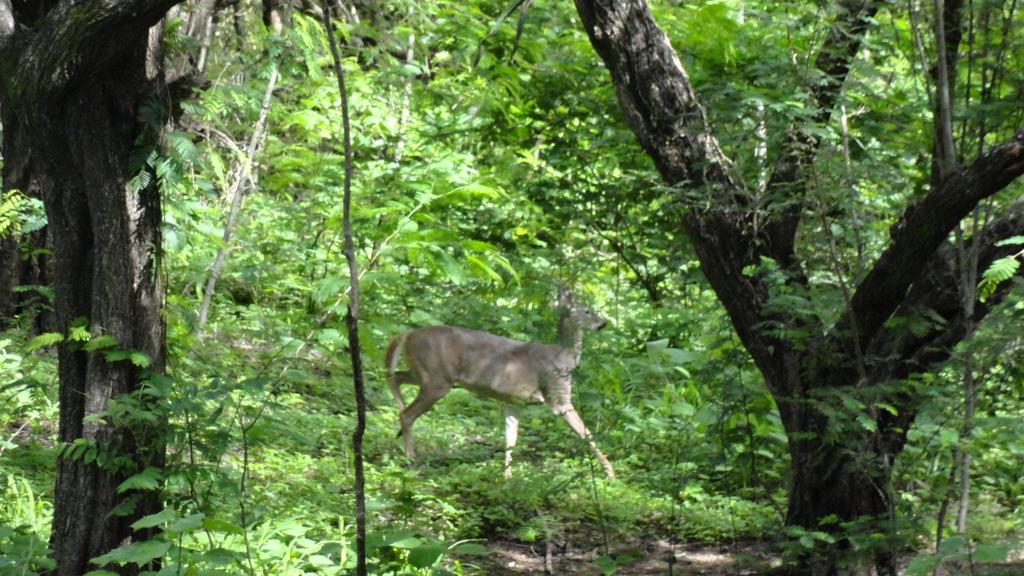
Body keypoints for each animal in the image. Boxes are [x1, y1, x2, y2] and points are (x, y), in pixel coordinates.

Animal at [385, 284, 614, 477]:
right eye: (587, 311)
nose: (603, 323)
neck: (564, 358)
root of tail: (406, 335)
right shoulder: (558, 395)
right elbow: (586, 433)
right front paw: (610, 473)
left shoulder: (514, 401)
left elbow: (510, 439)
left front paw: (507, 477)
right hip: (436, 380)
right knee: (406, 412)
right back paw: (411, 459)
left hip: (426, 374)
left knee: (394, 376)